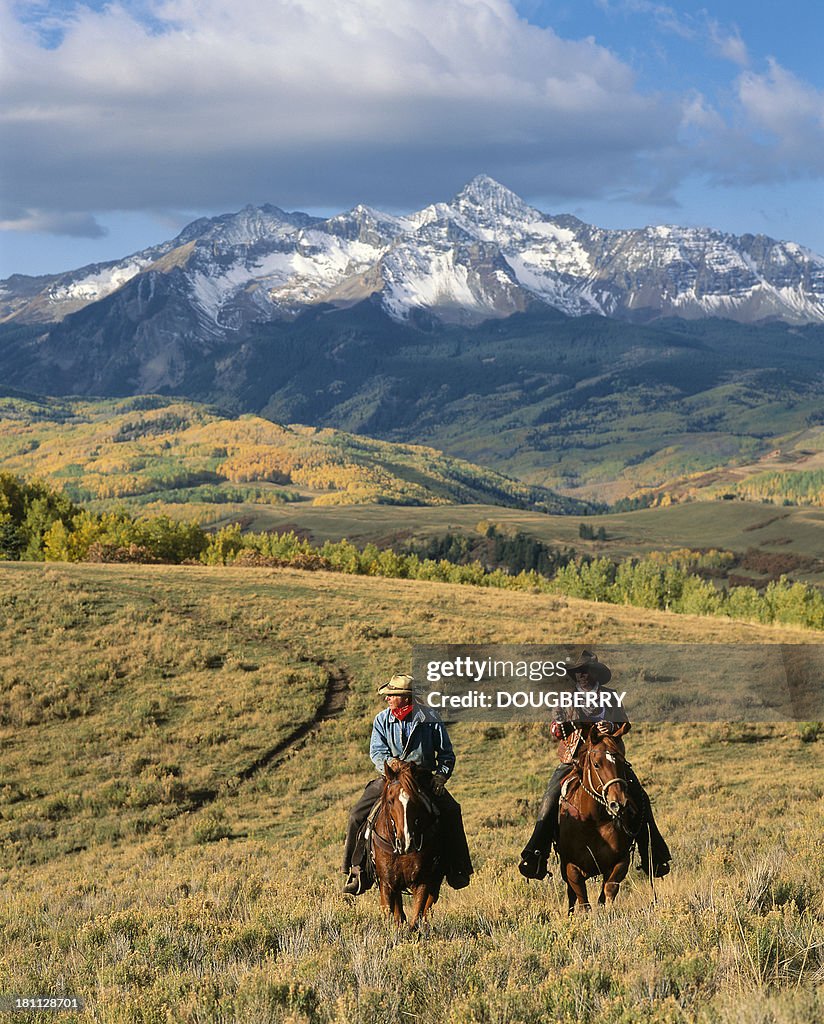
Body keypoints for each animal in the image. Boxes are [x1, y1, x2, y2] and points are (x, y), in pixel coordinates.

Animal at [370, 761, 440, 929]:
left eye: (416, 801)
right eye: (390, 801)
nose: (405, 841)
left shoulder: (422, 882)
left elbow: (416, 919)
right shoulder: (387, 884)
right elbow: (391, 915)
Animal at [556, 724, 638, 917]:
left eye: (623, 762)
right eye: (596, 764)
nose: (619, 803)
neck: (594, 821)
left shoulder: (620, 861)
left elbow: (609, 890)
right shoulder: (572, 868)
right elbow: (583, 901)